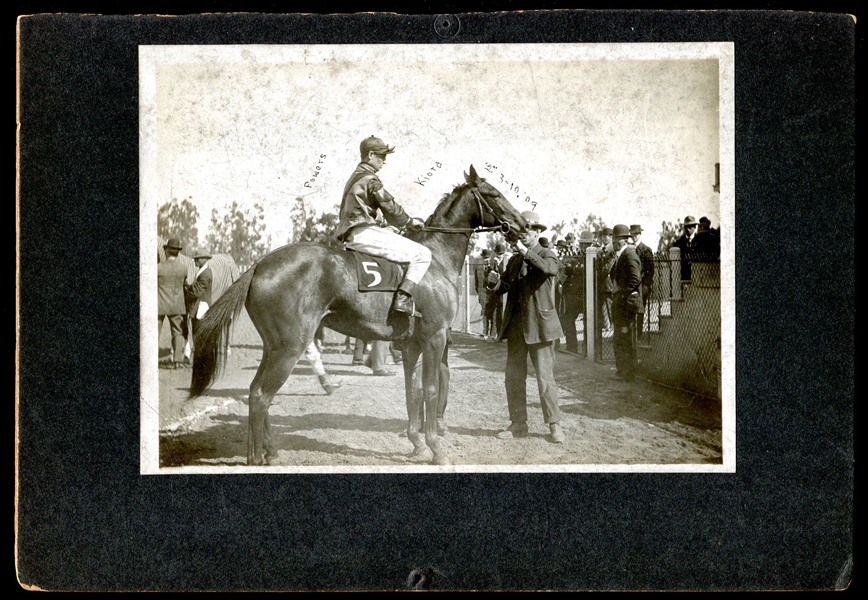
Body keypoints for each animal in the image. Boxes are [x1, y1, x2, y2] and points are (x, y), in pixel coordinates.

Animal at [190, 166, 524, 466]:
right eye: (494, 194)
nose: (525, 226)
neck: (435, 260)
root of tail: (259, 264)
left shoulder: (411, 345)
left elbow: (412, 391)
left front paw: (416, 444)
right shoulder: (434, 338)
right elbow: (430, 390)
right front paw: (435, 449)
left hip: (273, 348)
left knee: (255, 392)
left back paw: (270, 452)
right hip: (289, 347)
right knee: (262, 395)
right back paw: (257, 457)